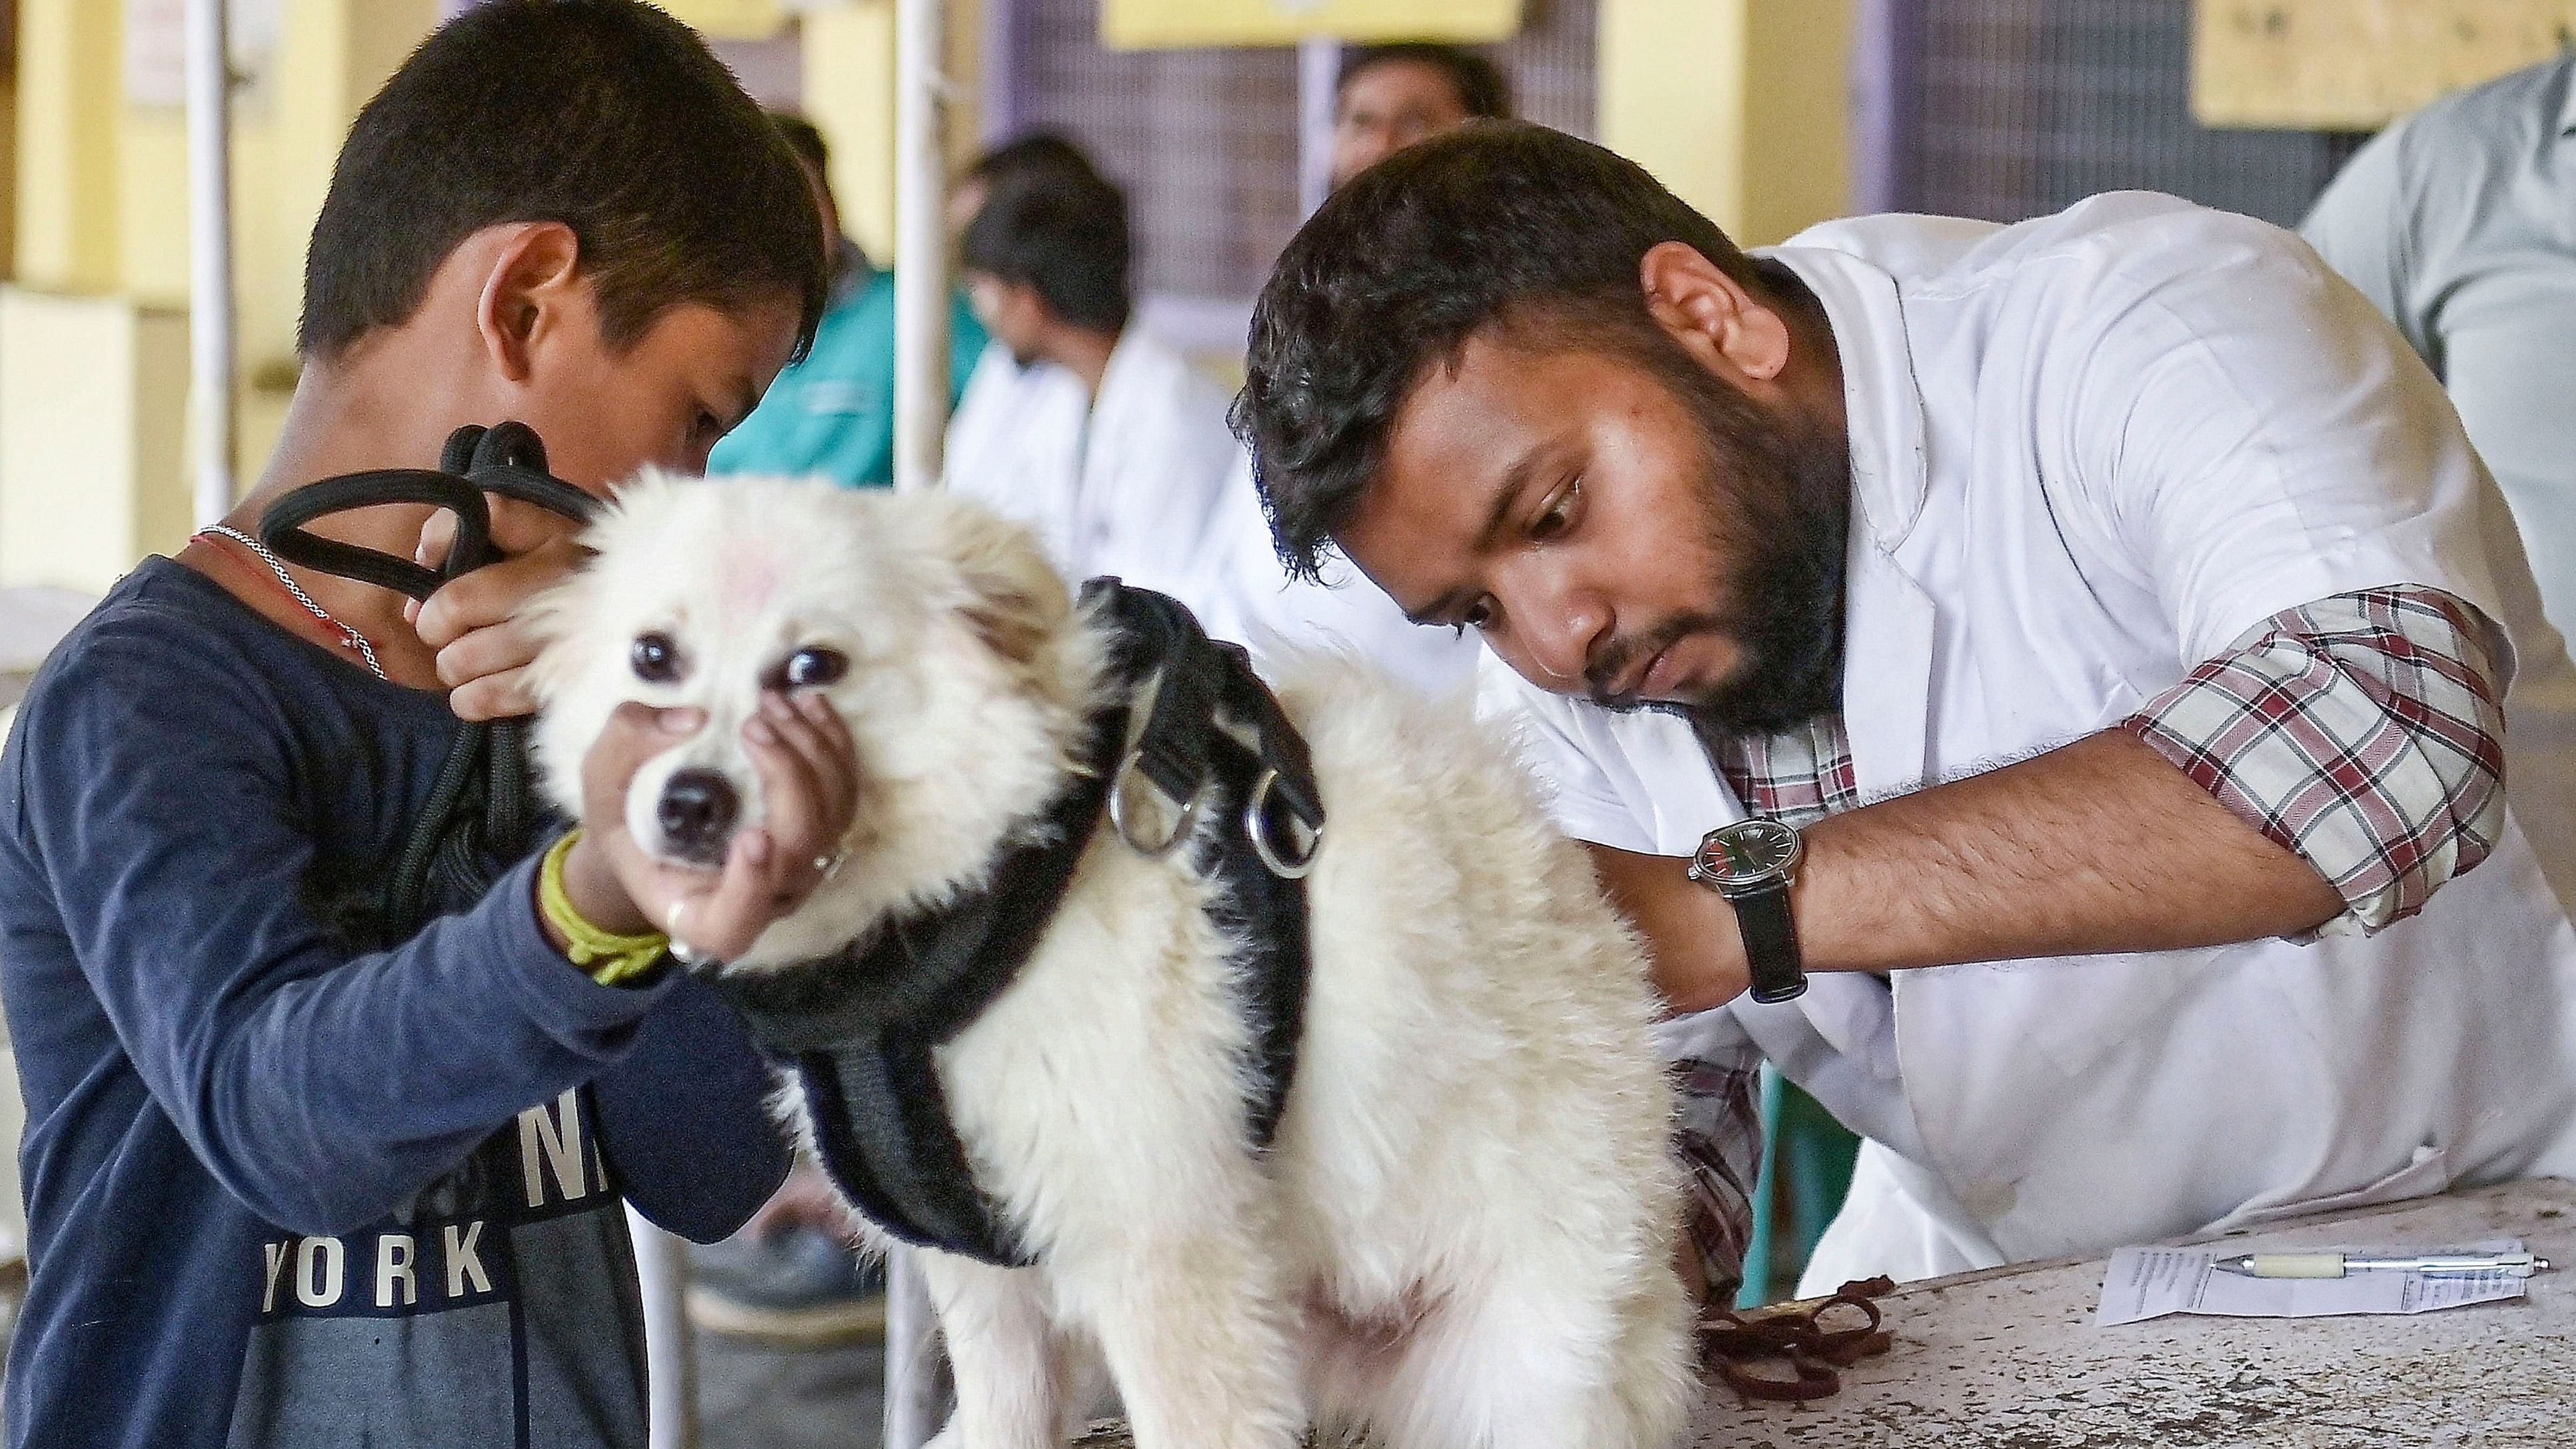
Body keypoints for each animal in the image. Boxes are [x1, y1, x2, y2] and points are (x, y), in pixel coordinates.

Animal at [528, 474, 1690, 1444]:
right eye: (652, 658)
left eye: (815, 666)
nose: (688, 804)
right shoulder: (981, 1270)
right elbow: (1005, 1411)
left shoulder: (1165, 1247)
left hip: (1520, 1367)